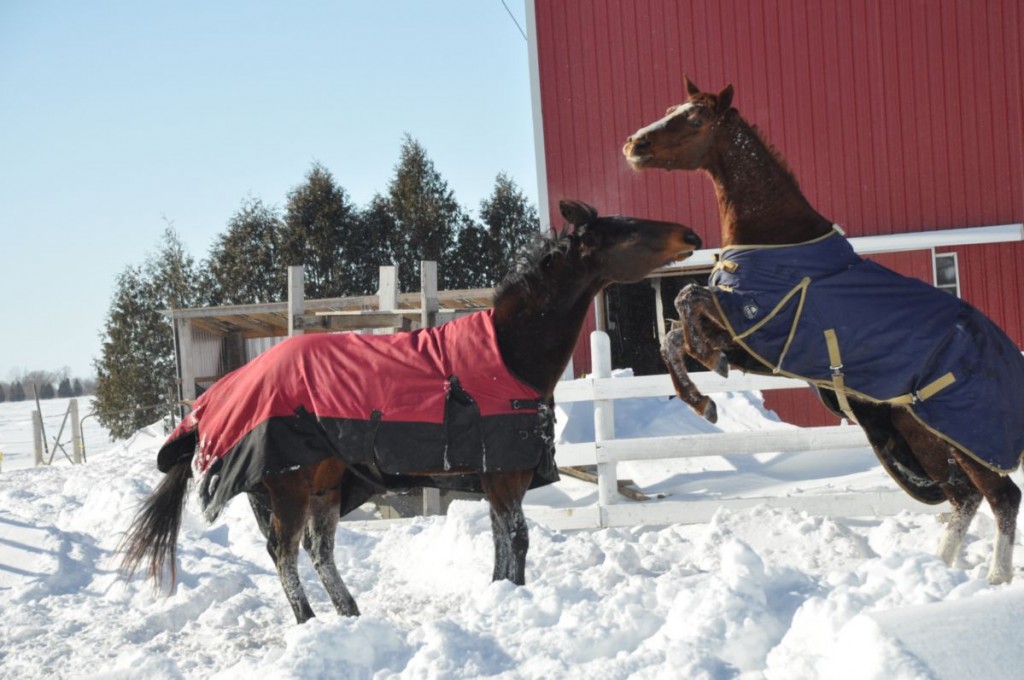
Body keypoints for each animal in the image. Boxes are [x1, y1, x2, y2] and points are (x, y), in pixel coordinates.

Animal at [120, 199, 701, 623]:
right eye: (628, 231)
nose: (691, 237)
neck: (507, 355)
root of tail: (213, 398)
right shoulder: (504, 474)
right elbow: (516, 541)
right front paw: (510, 596)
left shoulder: (498, 477)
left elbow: (503, 545)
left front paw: (500, 593)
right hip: (286, 486)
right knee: (285, 553)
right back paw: (309, 621)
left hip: (323, 486)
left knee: (317, 549)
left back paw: (350, 613)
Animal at [623, 77, 1024, 585]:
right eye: (670, 109)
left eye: (693, 119)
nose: (635, 145)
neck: (776, 242)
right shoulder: (743, 342)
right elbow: (674, 336)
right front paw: (702, 400)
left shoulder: (756, 327)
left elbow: (687, 301)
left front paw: (706, 385)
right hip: (924, 436)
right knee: (965, 500)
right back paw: (938, 568)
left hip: (968, 440)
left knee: (1002, 496)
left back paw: (995, 578)